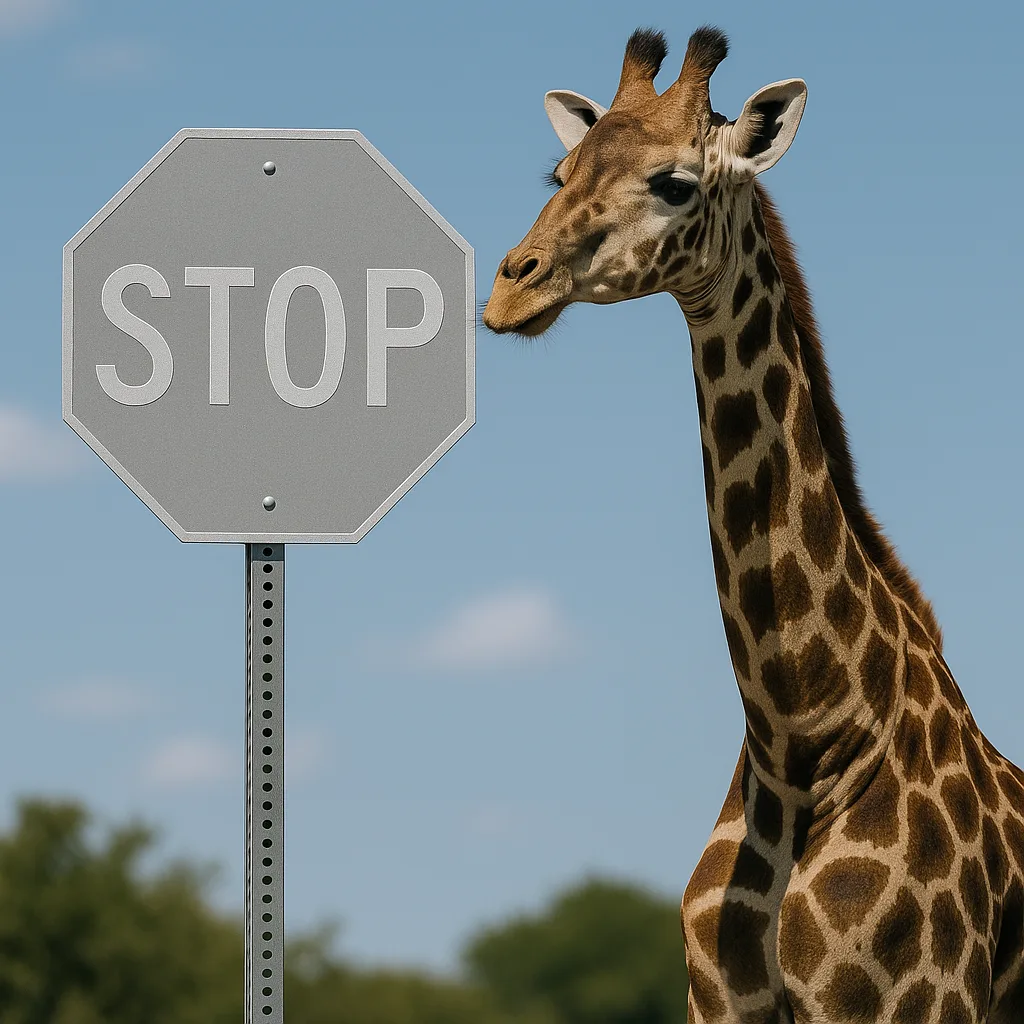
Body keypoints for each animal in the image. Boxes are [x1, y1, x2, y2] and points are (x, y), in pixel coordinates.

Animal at [483, 25, 1024, 1023]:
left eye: (674, 183)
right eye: (560, 171)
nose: (510, 292)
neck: (803, 738)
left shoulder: (917, 1001)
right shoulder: (714, 1002)